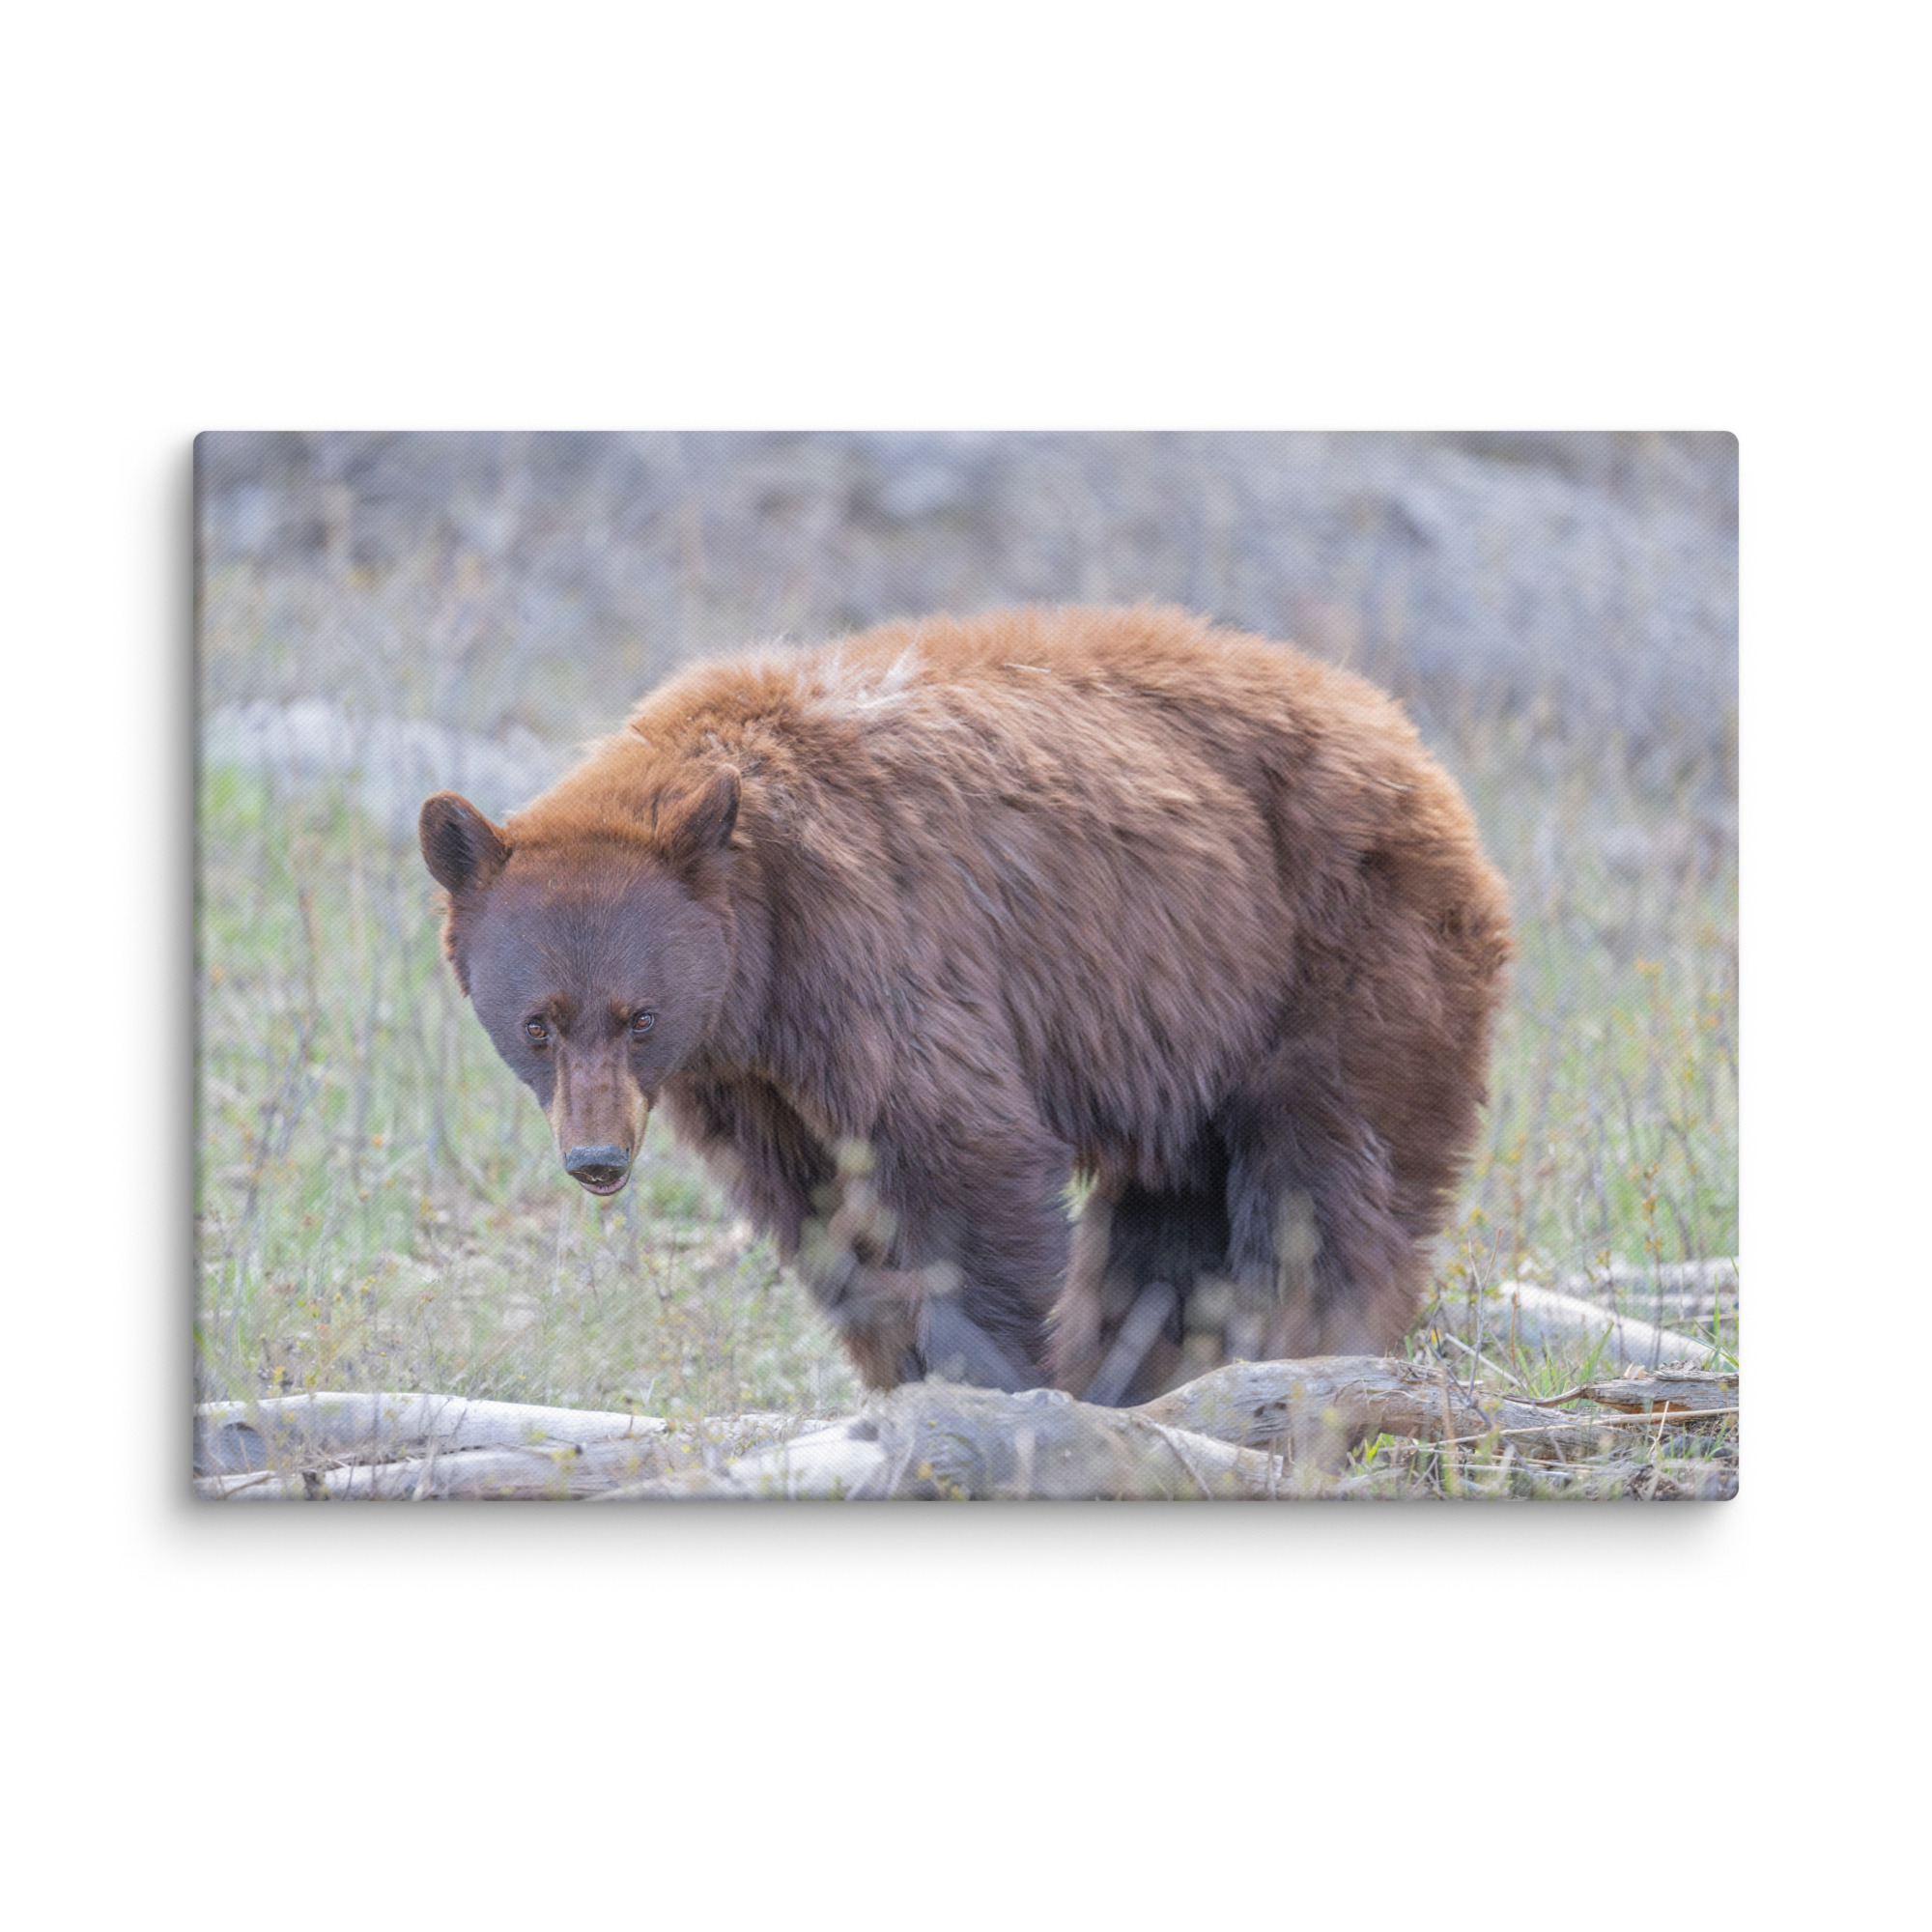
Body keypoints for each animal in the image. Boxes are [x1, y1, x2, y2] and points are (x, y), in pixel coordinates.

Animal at [419, 605, 1512, 1404]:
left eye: (638, 1016)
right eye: (538, 1024)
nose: (596, 1158)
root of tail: (1406, 739)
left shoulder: (872, 946)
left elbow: (958, 1155)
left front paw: (992, 1378)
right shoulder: (747, 1075)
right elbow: (820, 1210)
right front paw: (906, 1371)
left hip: (1338, 952)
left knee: (1324, 1180)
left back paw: (1298, 1349)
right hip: (1192, 1025)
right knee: (1170, 1214)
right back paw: (1147, 1368)